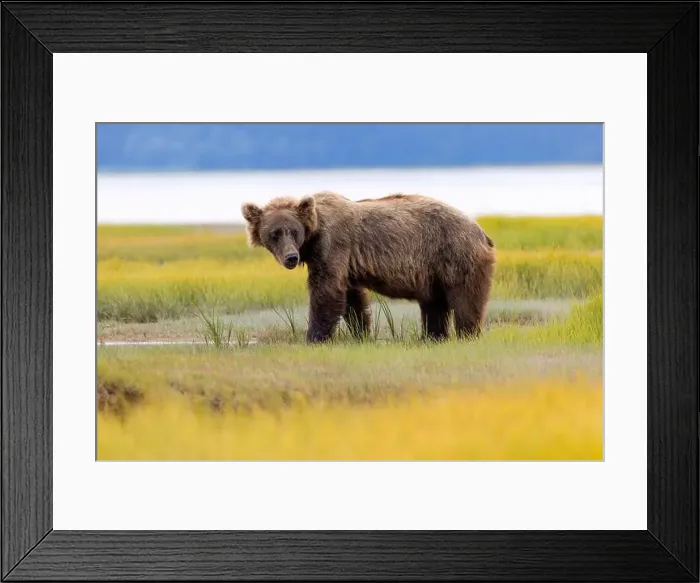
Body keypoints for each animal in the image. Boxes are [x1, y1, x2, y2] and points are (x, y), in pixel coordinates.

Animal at [241, 191, 495, 344]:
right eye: (274, 234)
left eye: (293, 231)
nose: (291, 257)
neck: (313, 236)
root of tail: (481, 231)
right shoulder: (345, 263)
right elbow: (352, 299)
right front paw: (361, 332)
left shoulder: (333, 246)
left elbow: (326, 292)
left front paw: (314, 337)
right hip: (432, 272)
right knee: (434, 304)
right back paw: (432, 336)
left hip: (454, 254)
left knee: (465, 300)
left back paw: (467, 334)